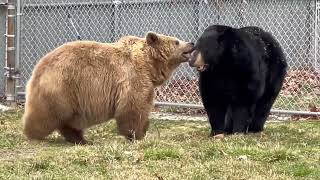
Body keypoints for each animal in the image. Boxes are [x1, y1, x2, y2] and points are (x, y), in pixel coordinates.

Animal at [21, 32, 195, 145]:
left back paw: (82, 140)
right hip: (63, 87)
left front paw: (143, 130)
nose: (192, 43)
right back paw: (32, 133)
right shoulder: (132, 77)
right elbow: (133, 107)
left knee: (70, 122)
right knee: (46, 115)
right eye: (176, 41)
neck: (148, 65)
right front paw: (137, 134)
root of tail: (38, 67)